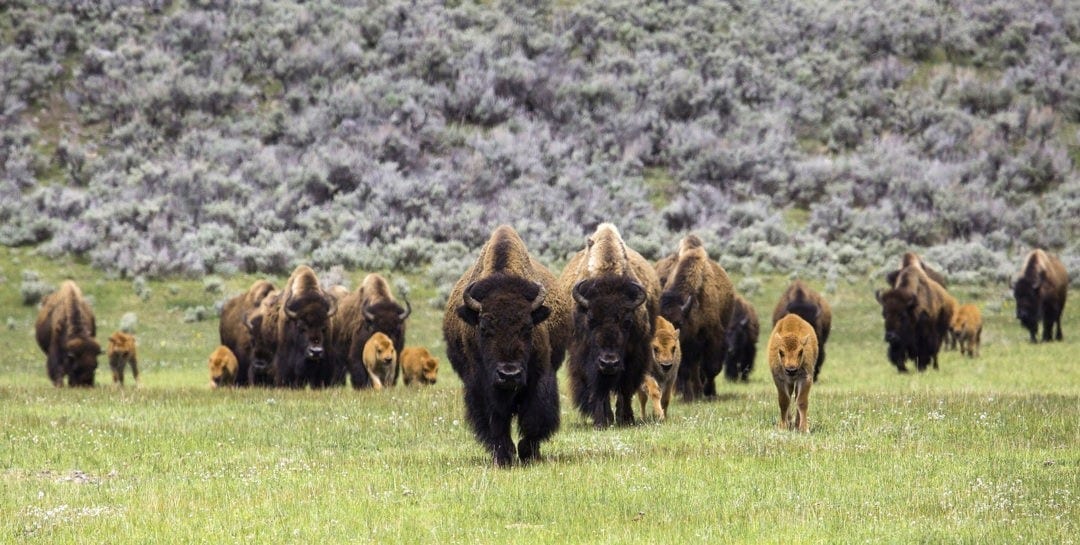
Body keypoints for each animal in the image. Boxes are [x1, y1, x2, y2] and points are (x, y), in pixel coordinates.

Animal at [442, 225, 570, 467]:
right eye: (483, 327)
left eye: (528, 327)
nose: (509, 374)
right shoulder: (481, 384)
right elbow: (496, 421)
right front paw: (505, 456)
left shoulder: (540, 376)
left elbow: (534, 417)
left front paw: (527, 452)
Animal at [560, 223, 660, 428]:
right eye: (591, 320)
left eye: (627, 322)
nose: (609, 363)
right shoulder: (585, 358)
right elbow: (599, 390)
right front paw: (601, 421)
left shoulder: (635, 355)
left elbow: (625, 389)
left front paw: (626, 418)